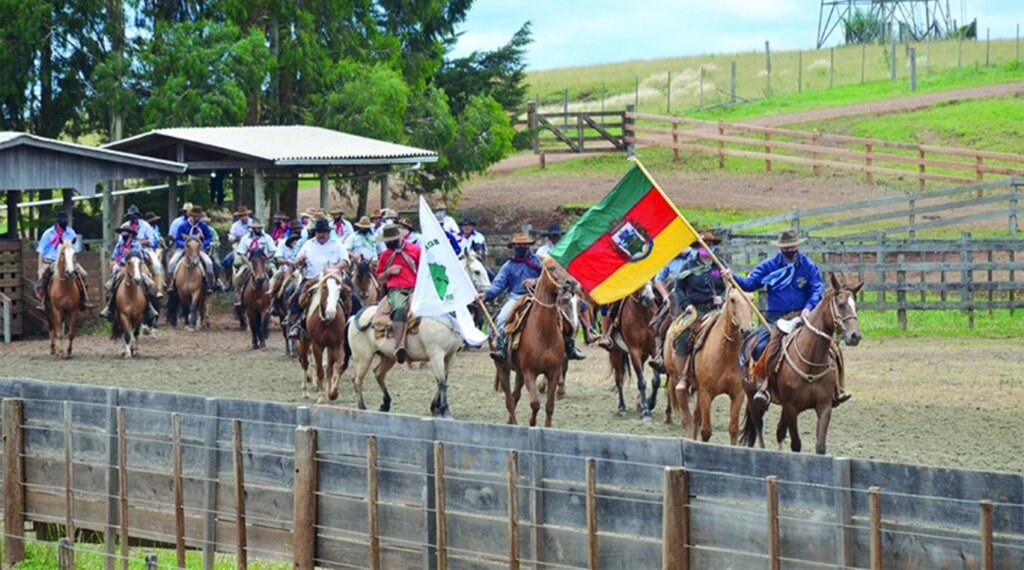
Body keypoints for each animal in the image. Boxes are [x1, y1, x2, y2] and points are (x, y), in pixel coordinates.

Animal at [294, 268, 350, 403]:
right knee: (305, 363)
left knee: (328, 368)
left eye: (339, 290)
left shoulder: (337, 344)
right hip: (303, 342)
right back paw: (305, 392)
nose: (331, 312)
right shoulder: (317, 346)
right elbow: (319, 370)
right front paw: (321, 397)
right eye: (324, 288)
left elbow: (338, 367)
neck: (327, 322)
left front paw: (333, 393)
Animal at [493, 255, 577, 423]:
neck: (543, 333)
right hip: (503, 367)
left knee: (515, 396)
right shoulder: (529, 373)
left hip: (518, 372)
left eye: (563, 266)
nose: (571, 282)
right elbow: (535, 403)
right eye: (551, 267)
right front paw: (532, 423)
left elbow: (549, 406)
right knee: (509, 399)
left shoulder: (553, 372)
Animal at [606, 282, 663, 419]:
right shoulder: (634, 350)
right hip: (615, 352)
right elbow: (641, 381)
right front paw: (646, 412)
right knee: (619, 379)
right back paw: (622, 407)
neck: (643, 313)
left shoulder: (653, 350)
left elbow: (656, 381)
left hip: (643, 355)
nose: (648, 298)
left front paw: (650, 403)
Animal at [667, 286, 757, 442]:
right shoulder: (706, 393)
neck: (726, 353)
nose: (746, 331)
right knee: (687, 419)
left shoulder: (738, 394)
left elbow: (733, 429)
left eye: (751, 299)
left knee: (695, 417)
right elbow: (706, 431)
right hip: (677, 381)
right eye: (732, 300)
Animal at [737, 274, 864, 456]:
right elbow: (796, 445)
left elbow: (820, 447)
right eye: (840, 305)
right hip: (753, 399)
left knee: (779, 432)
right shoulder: (791, 408)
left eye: (855, 306)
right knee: (759, 427)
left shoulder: (824, 406)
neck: (812, 362)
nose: (855, 336)